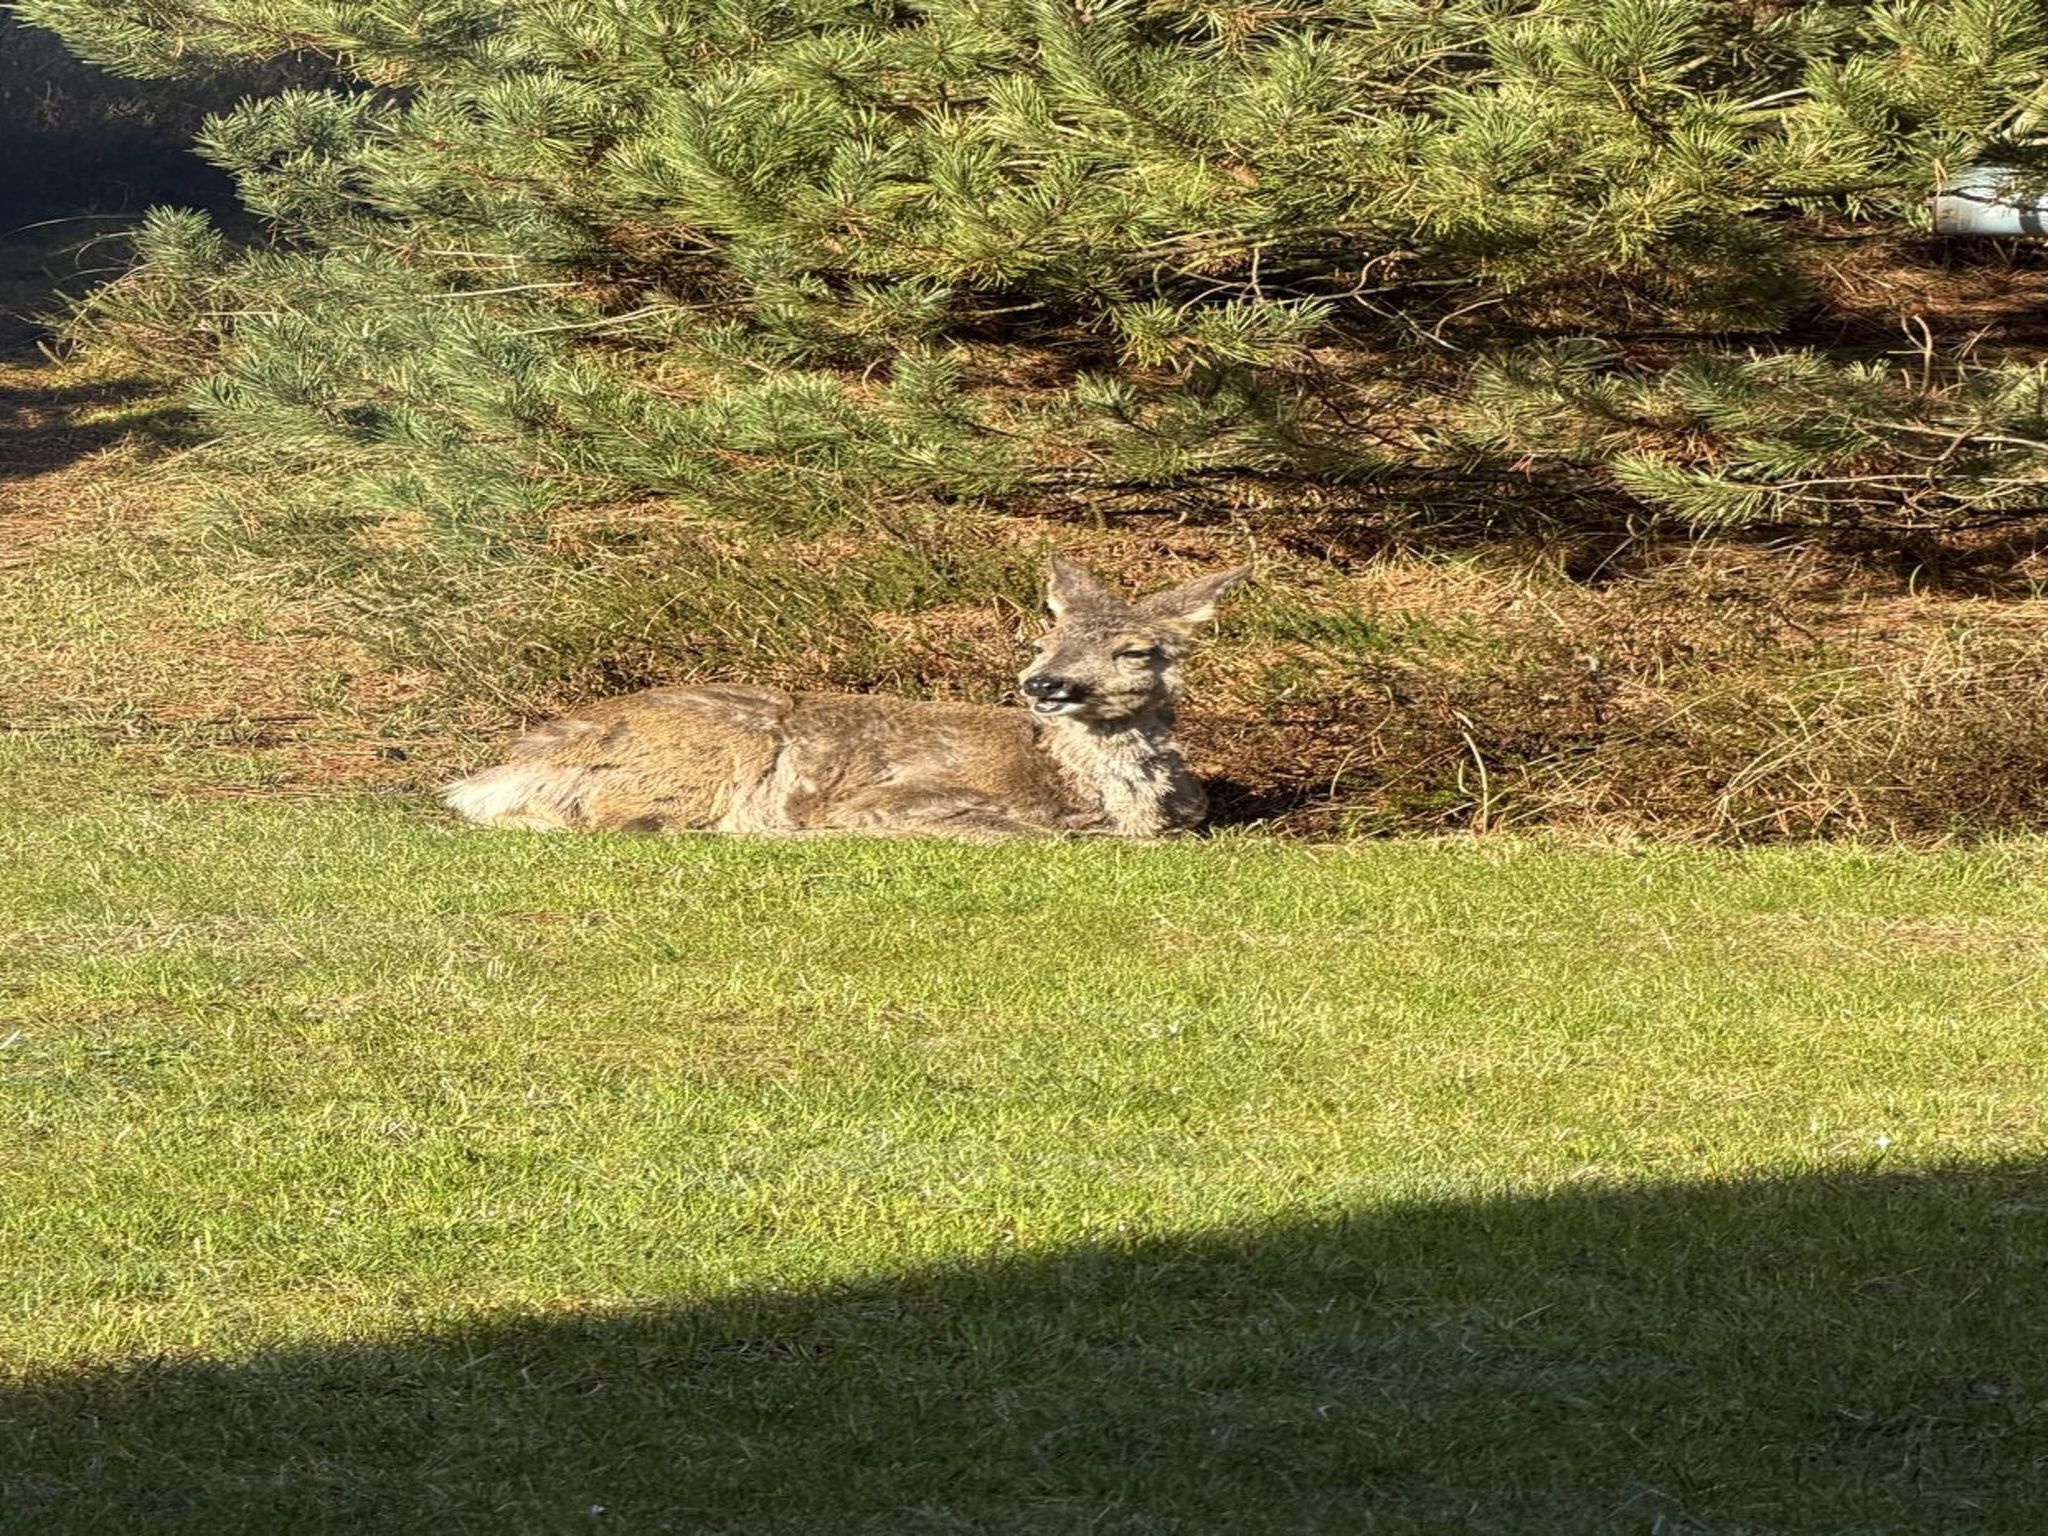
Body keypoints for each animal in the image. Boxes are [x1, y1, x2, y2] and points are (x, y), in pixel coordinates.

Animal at [441, 555, 1250, 840]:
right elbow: (1028, 833)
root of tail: (499, 769)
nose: (1043, 684)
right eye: (1044, 638)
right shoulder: (898, 798)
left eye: (1135, 650)